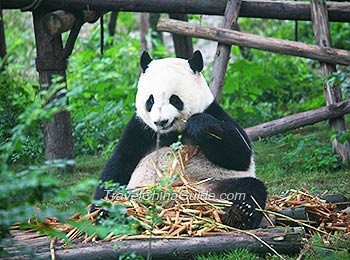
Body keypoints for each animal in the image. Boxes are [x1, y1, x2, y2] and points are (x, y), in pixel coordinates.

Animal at [91, 50, 266, 230]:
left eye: (174, 99)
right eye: (150, 100)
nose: (160, 122)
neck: (172, 132)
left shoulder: (214, 112)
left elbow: (240, 155)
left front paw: (199, 125)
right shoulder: (140, 129)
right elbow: (119, 164)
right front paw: (100, 211)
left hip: (217, 184)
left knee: (250, 188)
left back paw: (240, 214)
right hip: (139, 191)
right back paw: (110, 216)